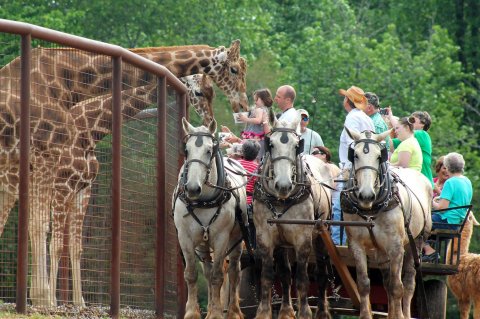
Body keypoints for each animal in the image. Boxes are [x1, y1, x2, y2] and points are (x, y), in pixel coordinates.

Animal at [172, 119, 248, 318]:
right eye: (187, 150)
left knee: (233, 271)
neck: (203, 200)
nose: (192, 188)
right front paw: (192, 313)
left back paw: (232, 311)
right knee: (207, 270)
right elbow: (191, 274)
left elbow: (217, 276)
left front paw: (215, 313)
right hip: (202, 244)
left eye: (208, 151)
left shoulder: (221, 238)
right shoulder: (185, 237)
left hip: (236, 239)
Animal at [255, 117, 334, 319]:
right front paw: (267, 311)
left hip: (322, 235)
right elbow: (269, 276)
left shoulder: (302, 239)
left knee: (321, 273)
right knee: (284, 273)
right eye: (271, 144)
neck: (281, 199)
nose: (283, 185)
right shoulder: (265, 238)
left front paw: (305, 312)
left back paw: (322, 311)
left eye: (296, 146)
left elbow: (302, 278)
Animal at [342, 129, 432, 319]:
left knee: (408, 283)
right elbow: (363, 284)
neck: (371, 209)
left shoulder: (396, 246)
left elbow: (397, 287)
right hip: (381, 250)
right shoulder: (356, 245)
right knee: (386, 282)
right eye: (355, 155)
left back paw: (405, 313)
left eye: (379, 156)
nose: (366, 195)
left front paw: (399, 315)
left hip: (417, 241)